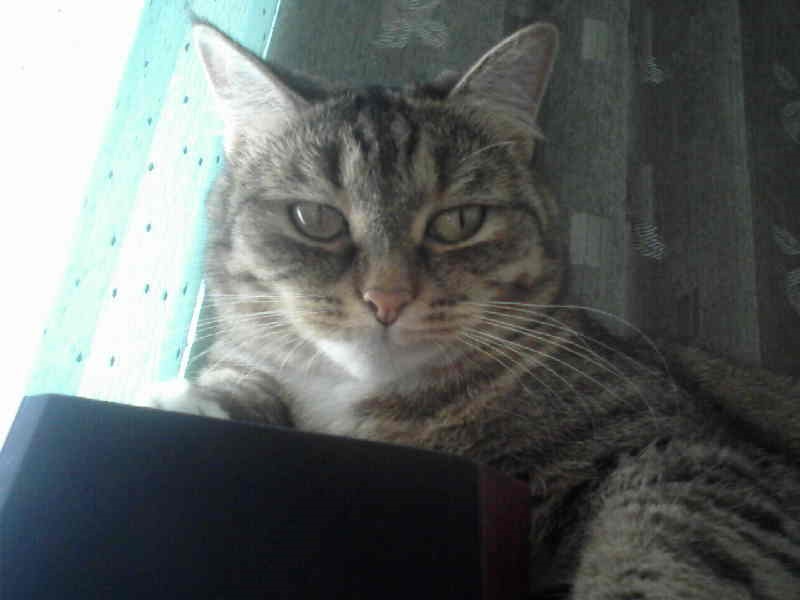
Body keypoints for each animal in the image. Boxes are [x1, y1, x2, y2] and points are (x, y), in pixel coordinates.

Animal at [149, 20, 800, 598]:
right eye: (315, 219)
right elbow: (242, 386)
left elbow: (671, 548)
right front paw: (193, 400)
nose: (386, 297)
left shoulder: (696, 454)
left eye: (459, 221)